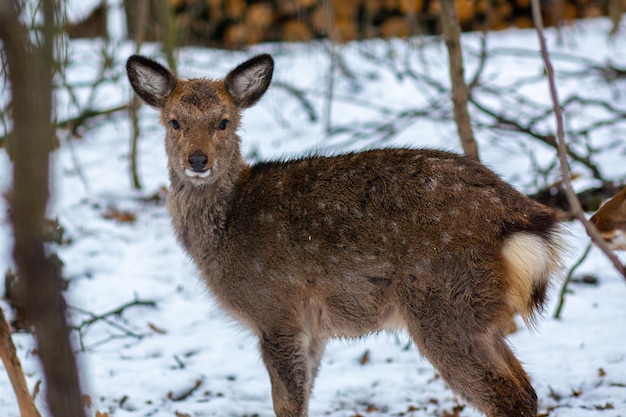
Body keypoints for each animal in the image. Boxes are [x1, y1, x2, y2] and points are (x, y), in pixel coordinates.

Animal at [124, 53, 564, 414]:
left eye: (223, 122)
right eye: (174, 122)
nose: (198, 160)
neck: (226, 230)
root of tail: (524, 220)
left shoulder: (276, 308)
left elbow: (287, 404)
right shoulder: (313, 327)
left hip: (443, 301)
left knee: (506, 397)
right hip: (476, 312)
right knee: (526, 390)